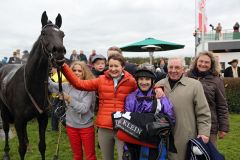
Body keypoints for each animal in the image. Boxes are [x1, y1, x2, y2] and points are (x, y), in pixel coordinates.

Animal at [0, 11, 65, 160]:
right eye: (43, 33)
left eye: (62, 34)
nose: (59, 51)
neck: (30, 86)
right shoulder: (18, 121)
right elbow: (21, 149)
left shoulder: (42, 119)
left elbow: (42, 146)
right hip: (4, 109)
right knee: (6, 129)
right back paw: (6, 152)